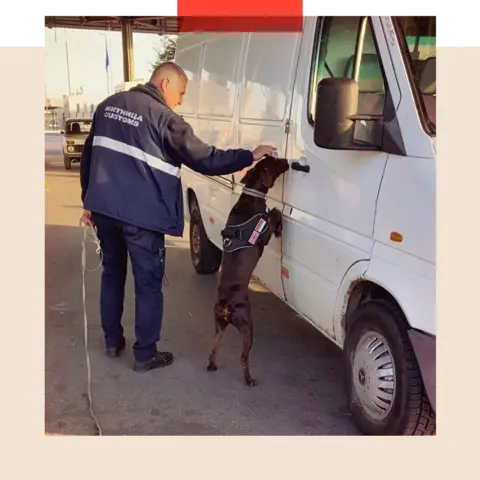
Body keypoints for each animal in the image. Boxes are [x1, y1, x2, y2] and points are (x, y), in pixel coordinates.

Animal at [206, 157, 288, 386]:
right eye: (277, 162)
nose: (287, 160)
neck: (252, 195)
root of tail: (225, 305)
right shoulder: (264, 233)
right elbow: (274, 212)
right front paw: (279, 223)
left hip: (219, 325)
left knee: (213, 347)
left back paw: (212, 365)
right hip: (247, 326)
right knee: (243, 357)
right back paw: (249, 379)